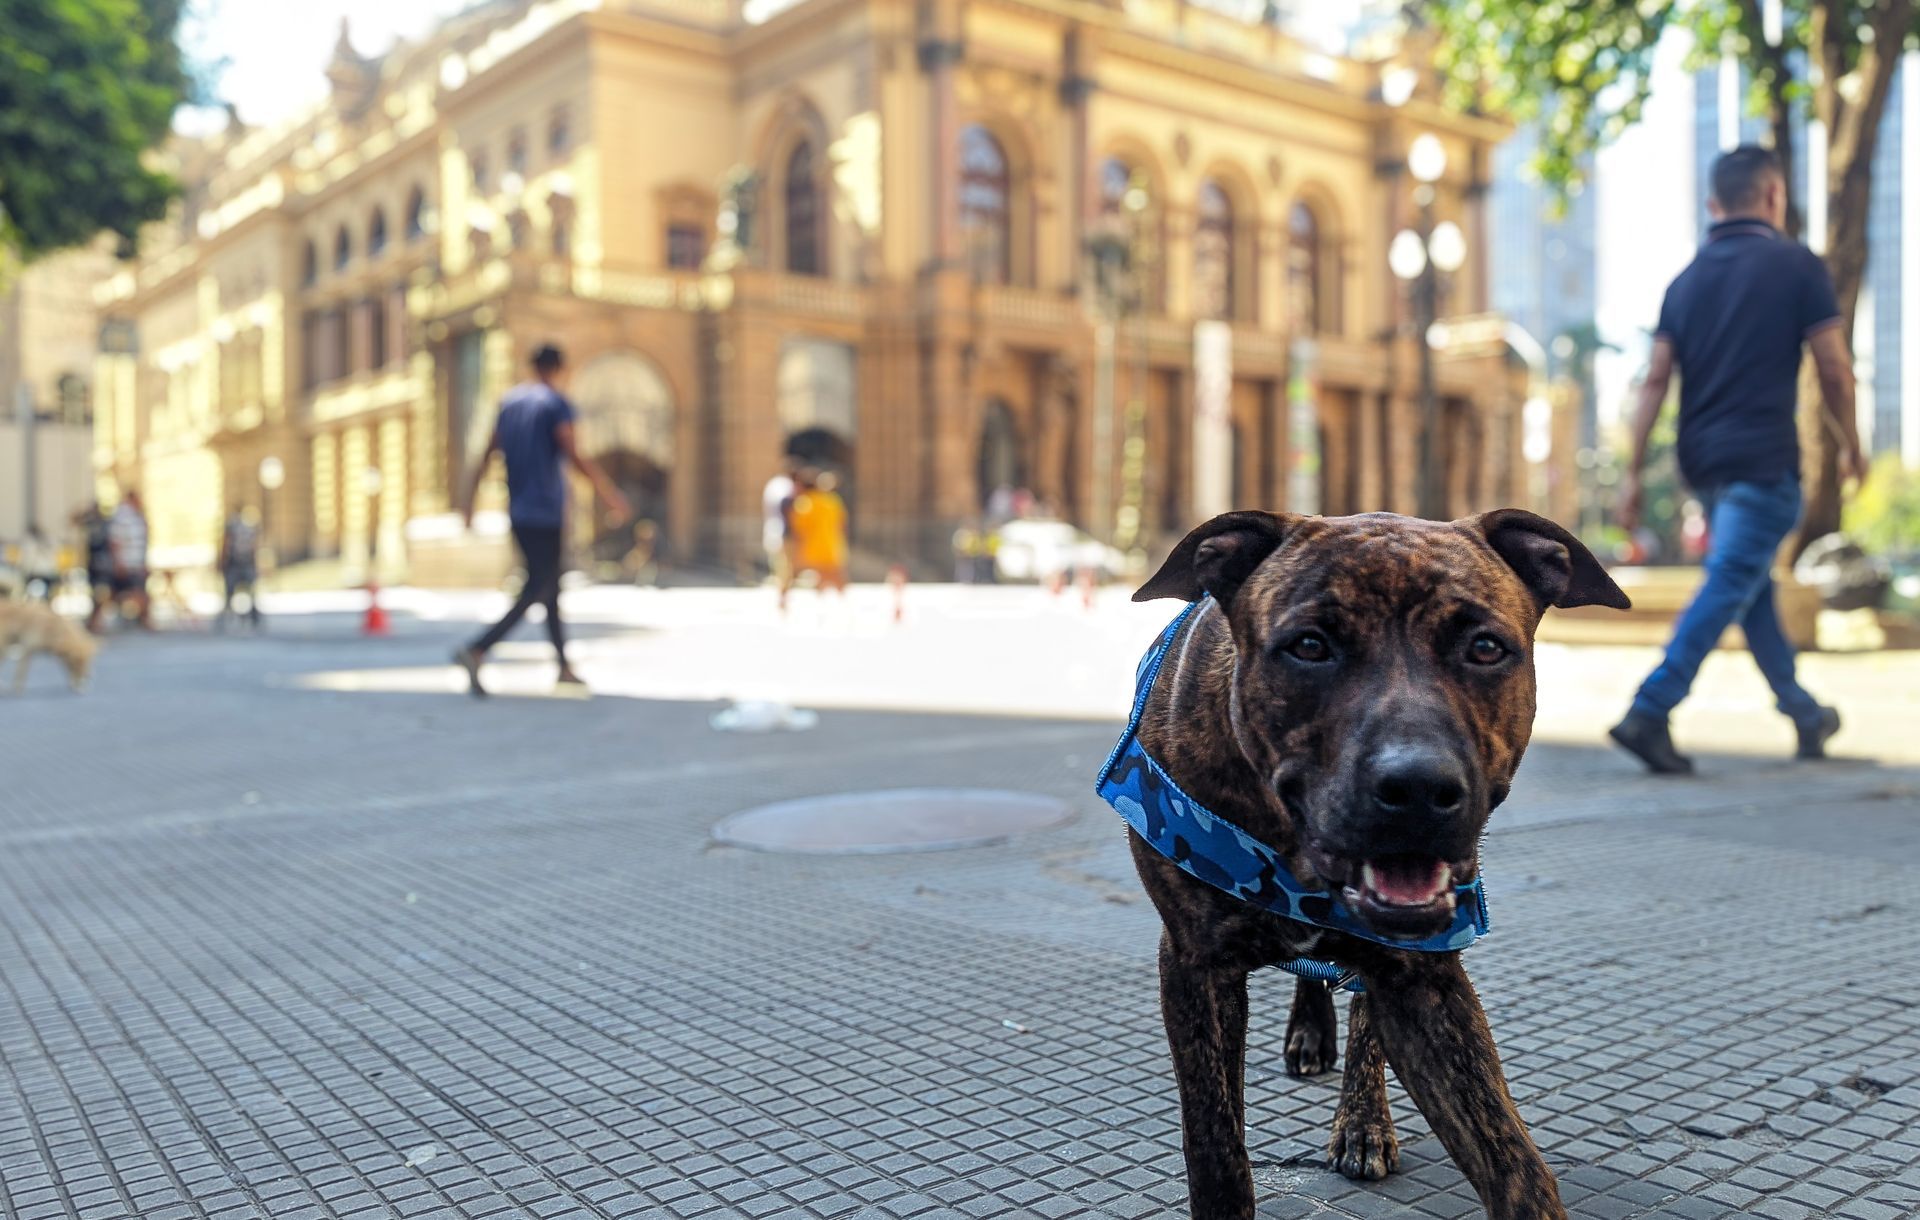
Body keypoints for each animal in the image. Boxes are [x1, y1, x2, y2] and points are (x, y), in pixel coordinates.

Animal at [1113, 509, 1628, 1220]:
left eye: (1485, 648)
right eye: (1309, 646)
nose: (1417, 787)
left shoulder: (1426, 982)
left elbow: (1515, 1163)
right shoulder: (1195, 966)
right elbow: (1214, 1142)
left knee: (1362, 1012)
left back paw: (1362, 1121)